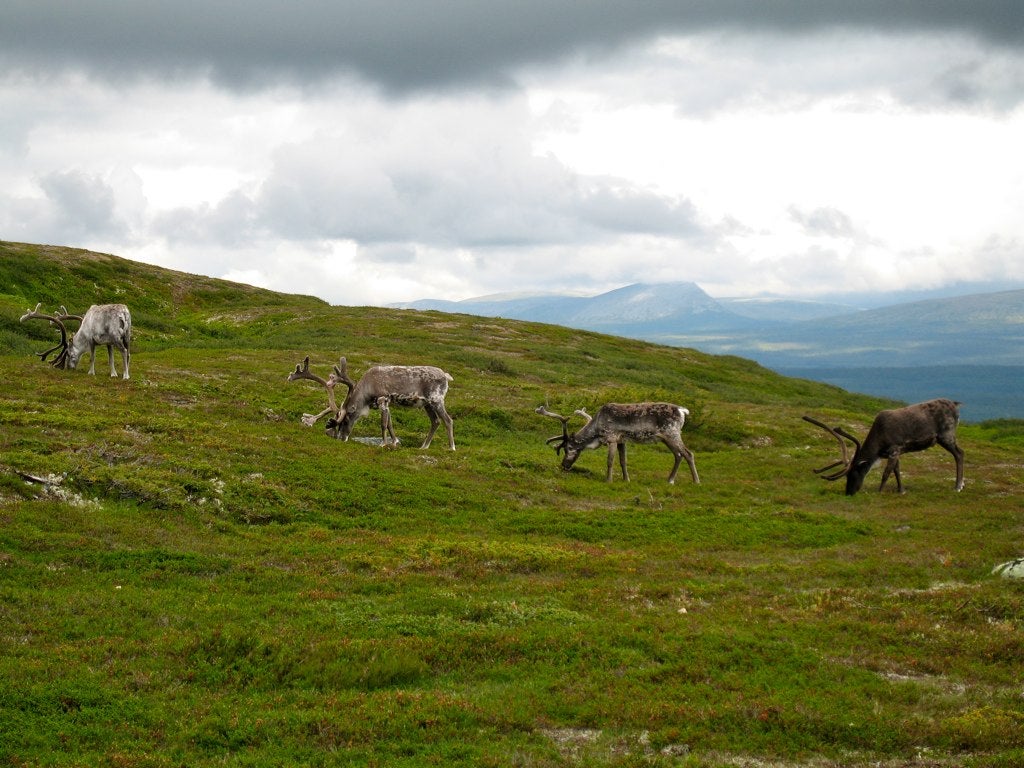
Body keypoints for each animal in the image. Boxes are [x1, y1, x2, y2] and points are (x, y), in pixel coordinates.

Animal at [288, 355, 455, 449]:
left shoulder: (383, 399)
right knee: (435, 421)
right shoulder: (387, 403)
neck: (367, 391)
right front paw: (395, 442)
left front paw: (383, 444)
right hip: (427, 404)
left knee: (448, 420)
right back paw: (424, 447)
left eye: (346, 419)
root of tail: (446, 376)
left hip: (436, 399)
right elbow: (390, 424)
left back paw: (451, 447)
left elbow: (383, 424)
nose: (341, 439)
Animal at [536, 403, 699, 484]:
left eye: (569, 448)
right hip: (666, 438)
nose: (564, 465)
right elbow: (623, 461)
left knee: (688, 453)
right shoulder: (622, 441)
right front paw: (626, 480)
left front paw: (608, 480)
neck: (597, 431)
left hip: (672, 433)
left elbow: (610, 461)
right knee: (678, 455)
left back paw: (696, 481)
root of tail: (682, 411)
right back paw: (670, 480)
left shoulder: (612, 438)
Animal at [803, 398, 964, 495]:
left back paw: (958, 486)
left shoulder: (894, 449)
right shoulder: (895, 452)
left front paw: (879, 491)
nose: (849, 492)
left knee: (959, 453)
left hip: (946, 436)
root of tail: (955, 404)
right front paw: (901, 490)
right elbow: (896, 470)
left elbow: (886, 472)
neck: (878, 446)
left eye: (854, 472)